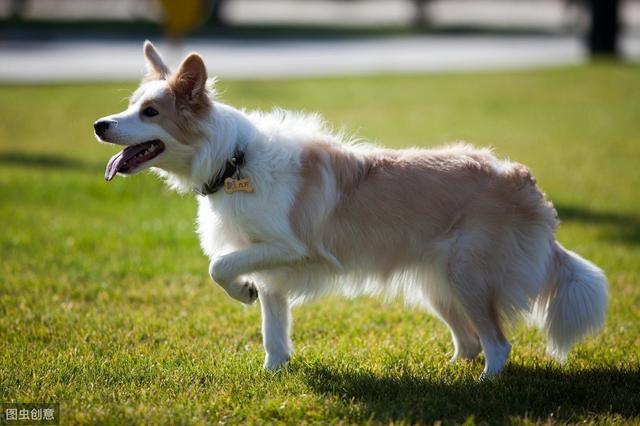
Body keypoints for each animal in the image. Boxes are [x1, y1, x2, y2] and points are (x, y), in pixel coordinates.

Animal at [92, 41, 608, 378]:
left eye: (150, 113)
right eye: (132, 106)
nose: (99, 125)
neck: (233, 161)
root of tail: (524, 183)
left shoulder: (290, 248)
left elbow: (219, 265)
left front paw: (241, 291)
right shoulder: (271, 267)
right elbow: (272, 330)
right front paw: (273, 373)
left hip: (467, 277)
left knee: (498, 344)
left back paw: (486, 387)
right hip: (438, 285)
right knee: (470, 342)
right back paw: (450, 373)